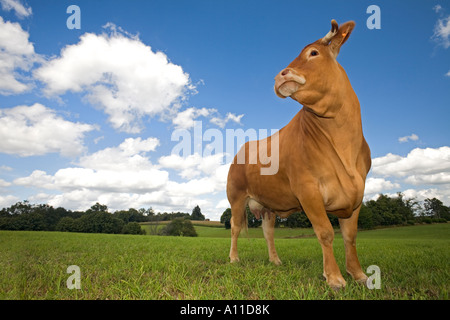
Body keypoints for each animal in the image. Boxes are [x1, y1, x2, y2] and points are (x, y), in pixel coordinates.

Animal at [227, 20, 370, 290]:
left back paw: (275, 261)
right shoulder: (307, 190)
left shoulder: (358, 193)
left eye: (313, 53)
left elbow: (350, 236)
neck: (344, 147)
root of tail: (244, 147)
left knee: (268, 232)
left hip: (268, 204)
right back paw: (234, 258)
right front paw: (334, 277)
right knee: (235, 227)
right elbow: (325, 232)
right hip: (236, 197)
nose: (279, 76)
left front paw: (358, 274)